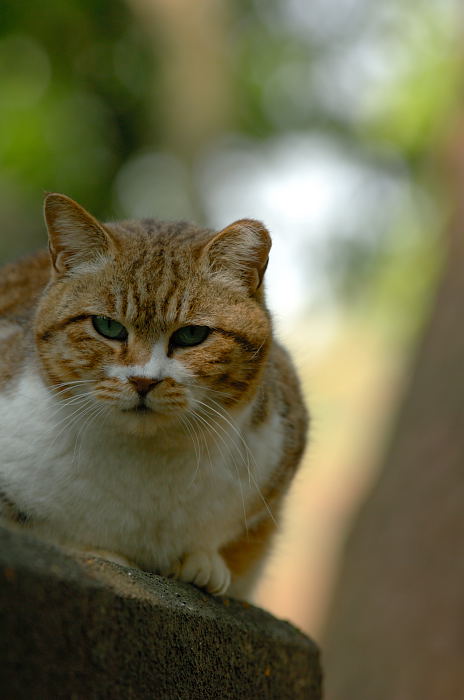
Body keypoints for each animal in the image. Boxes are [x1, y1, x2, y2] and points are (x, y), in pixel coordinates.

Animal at [0, 194, 308, 600]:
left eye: (192, 335)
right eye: (107, 326)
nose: (143, 381)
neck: (149, 460)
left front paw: (203, 560)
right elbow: (42, 529)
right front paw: (99, 552)